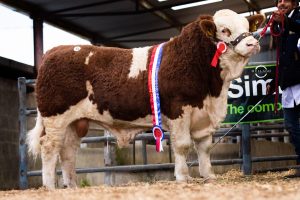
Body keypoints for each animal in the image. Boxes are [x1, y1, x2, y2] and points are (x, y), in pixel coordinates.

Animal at [27, 9, 264, 189]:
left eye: (248, 26)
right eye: (225, 30)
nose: (253, 43)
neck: (213, 90)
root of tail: (53, 52)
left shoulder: (203, 116)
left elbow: (204, 147)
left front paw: (208, 176)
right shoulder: (179, 110)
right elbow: (182, 146)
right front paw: (183, 177)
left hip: (75, 122)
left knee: (67, 151)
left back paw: (72, 186)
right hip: (55, 117)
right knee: (49, 147)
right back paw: (50, 186)